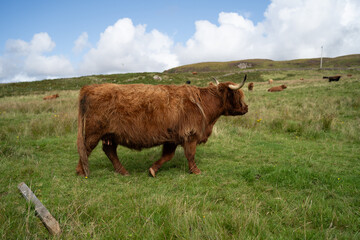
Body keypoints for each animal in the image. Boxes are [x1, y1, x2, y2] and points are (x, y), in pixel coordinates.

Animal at [77, 75, 249, 178]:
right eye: (238, 95)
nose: (246, 107)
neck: (204, 104)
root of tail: (89, 88)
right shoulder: (190, 135)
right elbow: (190, 154)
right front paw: (196, 171)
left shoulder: (172, 138)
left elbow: (167, 156)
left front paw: (153, 169)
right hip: (94, 132)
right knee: (86, 148)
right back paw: (81, 171)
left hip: (110, 134)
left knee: (109, 150)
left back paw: (123, 171)